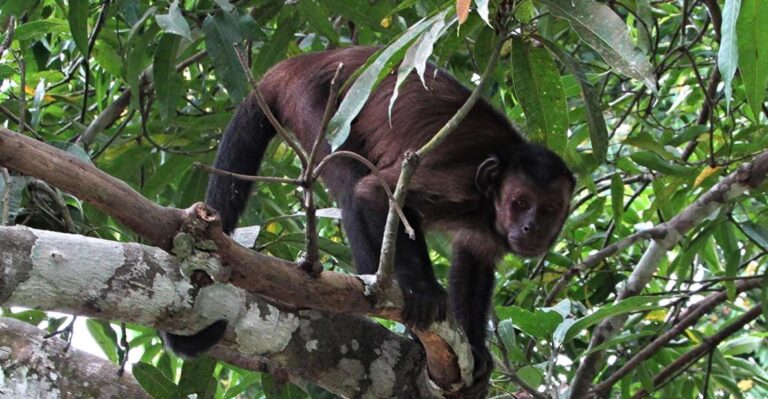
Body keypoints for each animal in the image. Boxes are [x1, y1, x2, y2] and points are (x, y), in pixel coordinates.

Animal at [162, 45, 572, 390]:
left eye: (549, 209)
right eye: (519, 202)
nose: (531, 227)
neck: (487, 201)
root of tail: (303, 61)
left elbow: (474, 260)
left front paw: (474, 348)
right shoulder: (459, 182)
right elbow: (374, 192)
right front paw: (421, 290)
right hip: (317, 101)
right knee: (350, 179)